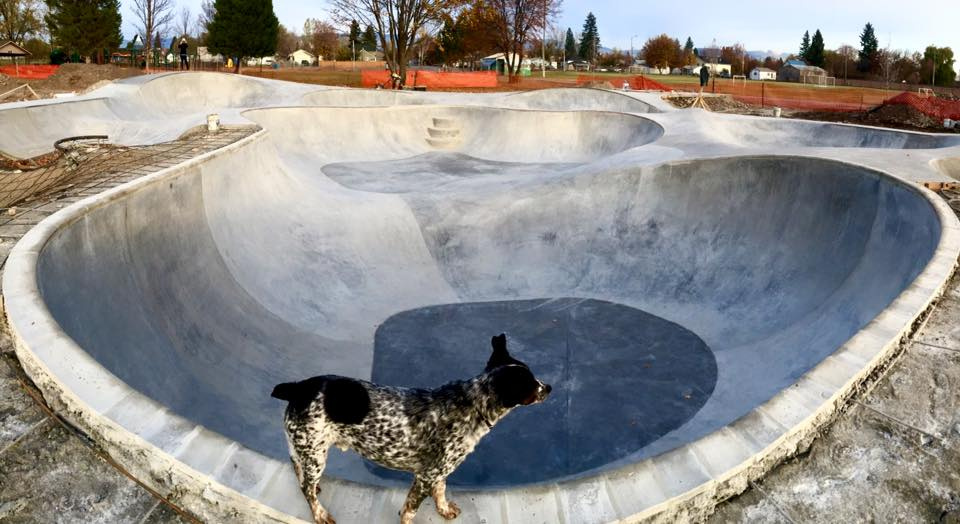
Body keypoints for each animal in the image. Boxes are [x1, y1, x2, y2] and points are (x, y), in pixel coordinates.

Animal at [274, 334, 552, 520]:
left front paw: (444, 509)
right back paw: (320, 513)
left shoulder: (437, 473)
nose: (549, 387)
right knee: (306, 489)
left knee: (297, 466)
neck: (471, 403)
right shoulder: (425, 476)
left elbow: (441, 491)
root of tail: (298, 387)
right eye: (530, 383)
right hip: (316, 454)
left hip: (304, 447)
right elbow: (410, 510)